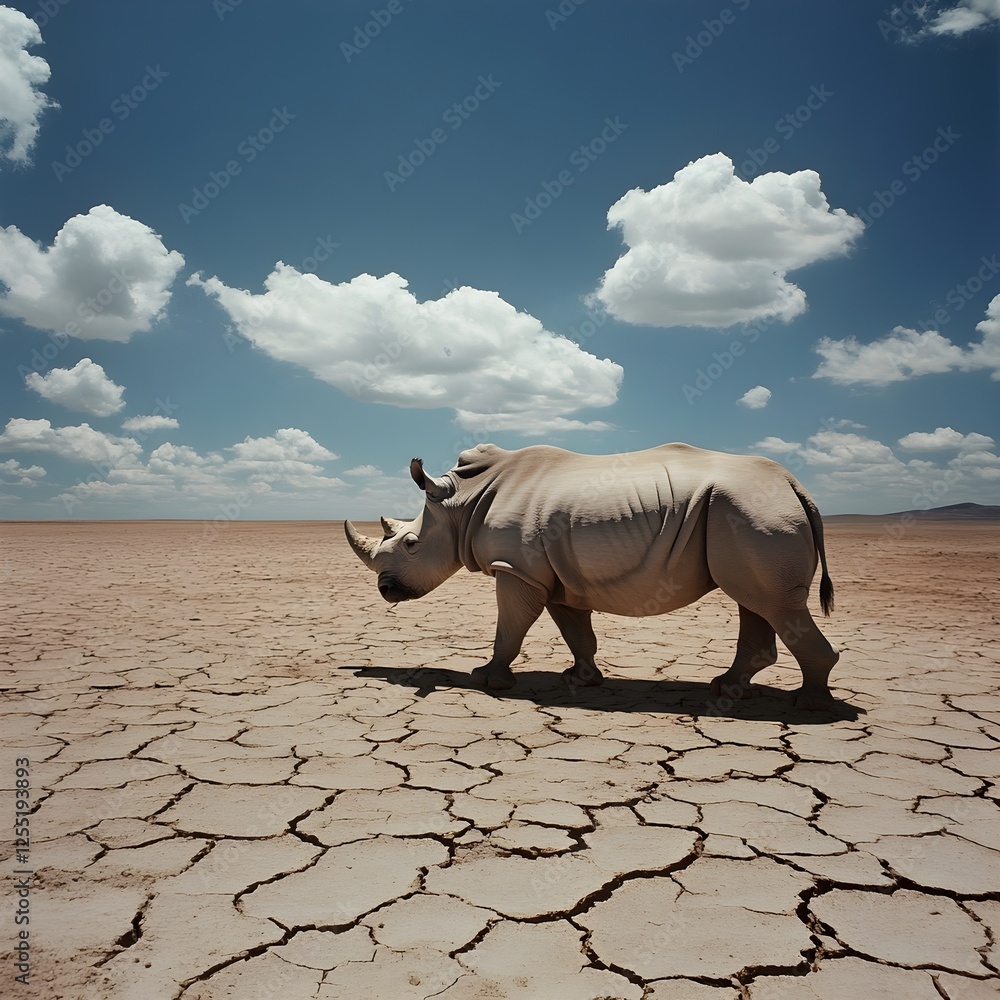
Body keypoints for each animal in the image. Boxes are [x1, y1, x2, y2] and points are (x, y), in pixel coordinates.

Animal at [345, 442, 840, 710]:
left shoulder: (516, 570)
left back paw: (809, 706)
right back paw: (729, 689)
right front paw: (580, 680)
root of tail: (796, 486)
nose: (386, 590)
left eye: (411, 544)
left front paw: (486, 678)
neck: (460, 502)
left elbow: (511, 627)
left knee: (773, 603)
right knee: (754, 601)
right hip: (743, 513)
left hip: (752, 511)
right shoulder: (553, 577)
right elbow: (574, 630)